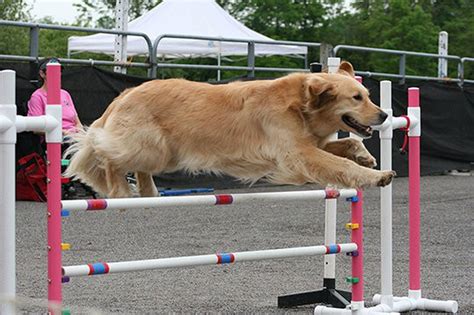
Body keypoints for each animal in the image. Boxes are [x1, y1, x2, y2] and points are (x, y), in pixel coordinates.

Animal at [65, 61, 394, 198]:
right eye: (357, 97)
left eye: (369, 95)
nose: (385, 114)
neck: (301, 104)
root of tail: (124, 94)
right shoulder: (296, 154)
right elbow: (338, 164)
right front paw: (378, 176)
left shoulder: (306, 145)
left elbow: (346, 146)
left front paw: (365, 157)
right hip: (147, 145)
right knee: (104, 151)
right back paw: (120, 189)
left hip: (161, 153)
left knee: (134, 165)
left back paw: (149, 193)